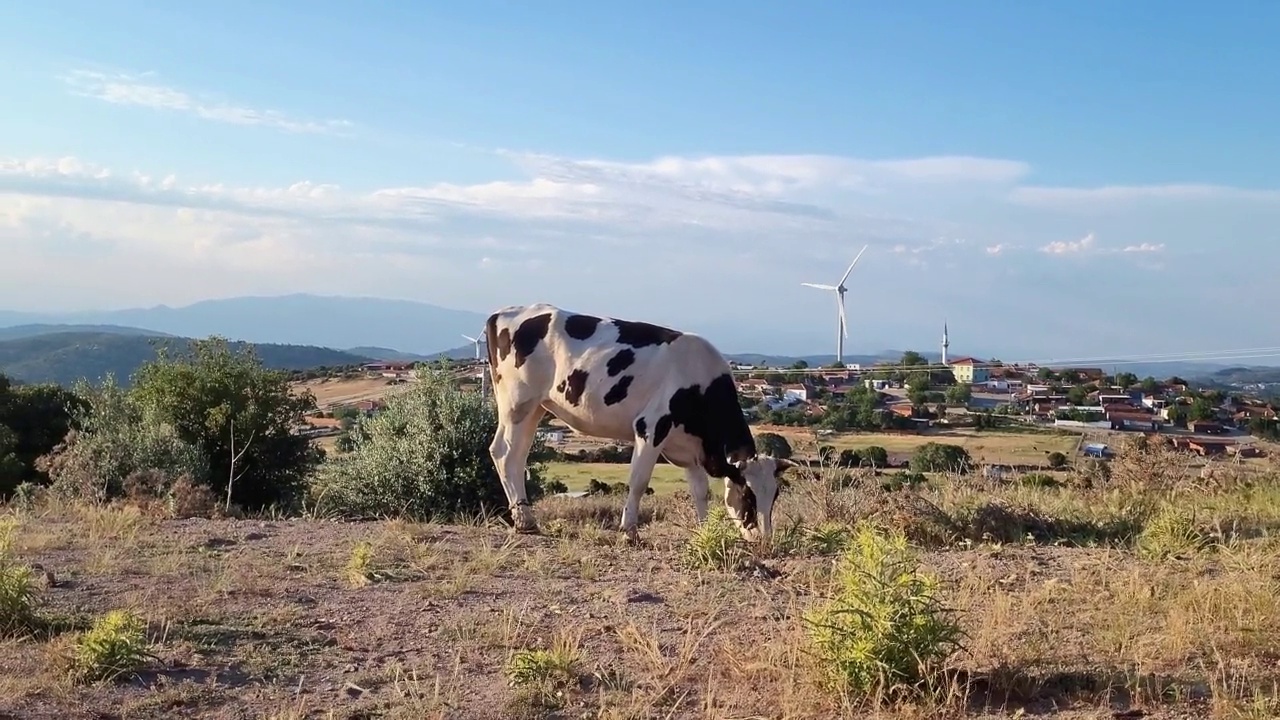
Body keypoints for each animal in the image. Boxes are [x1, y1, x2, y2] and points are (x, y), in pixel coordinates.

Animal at [483, 299, 793, 540]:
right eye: (749, 495)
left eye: (775, 495)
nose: (765, 539)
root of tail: (502, 313)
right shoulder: (651, 427)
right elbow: (639, 480)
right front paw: (629, 530)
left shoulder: (691, 448)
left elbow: (700, 490)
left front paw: (705, 530)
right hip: (516, 402)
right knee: (504, 453)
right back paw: (524, 521)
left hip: (535, 407)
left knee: (518, 455)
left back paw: (526, 517)